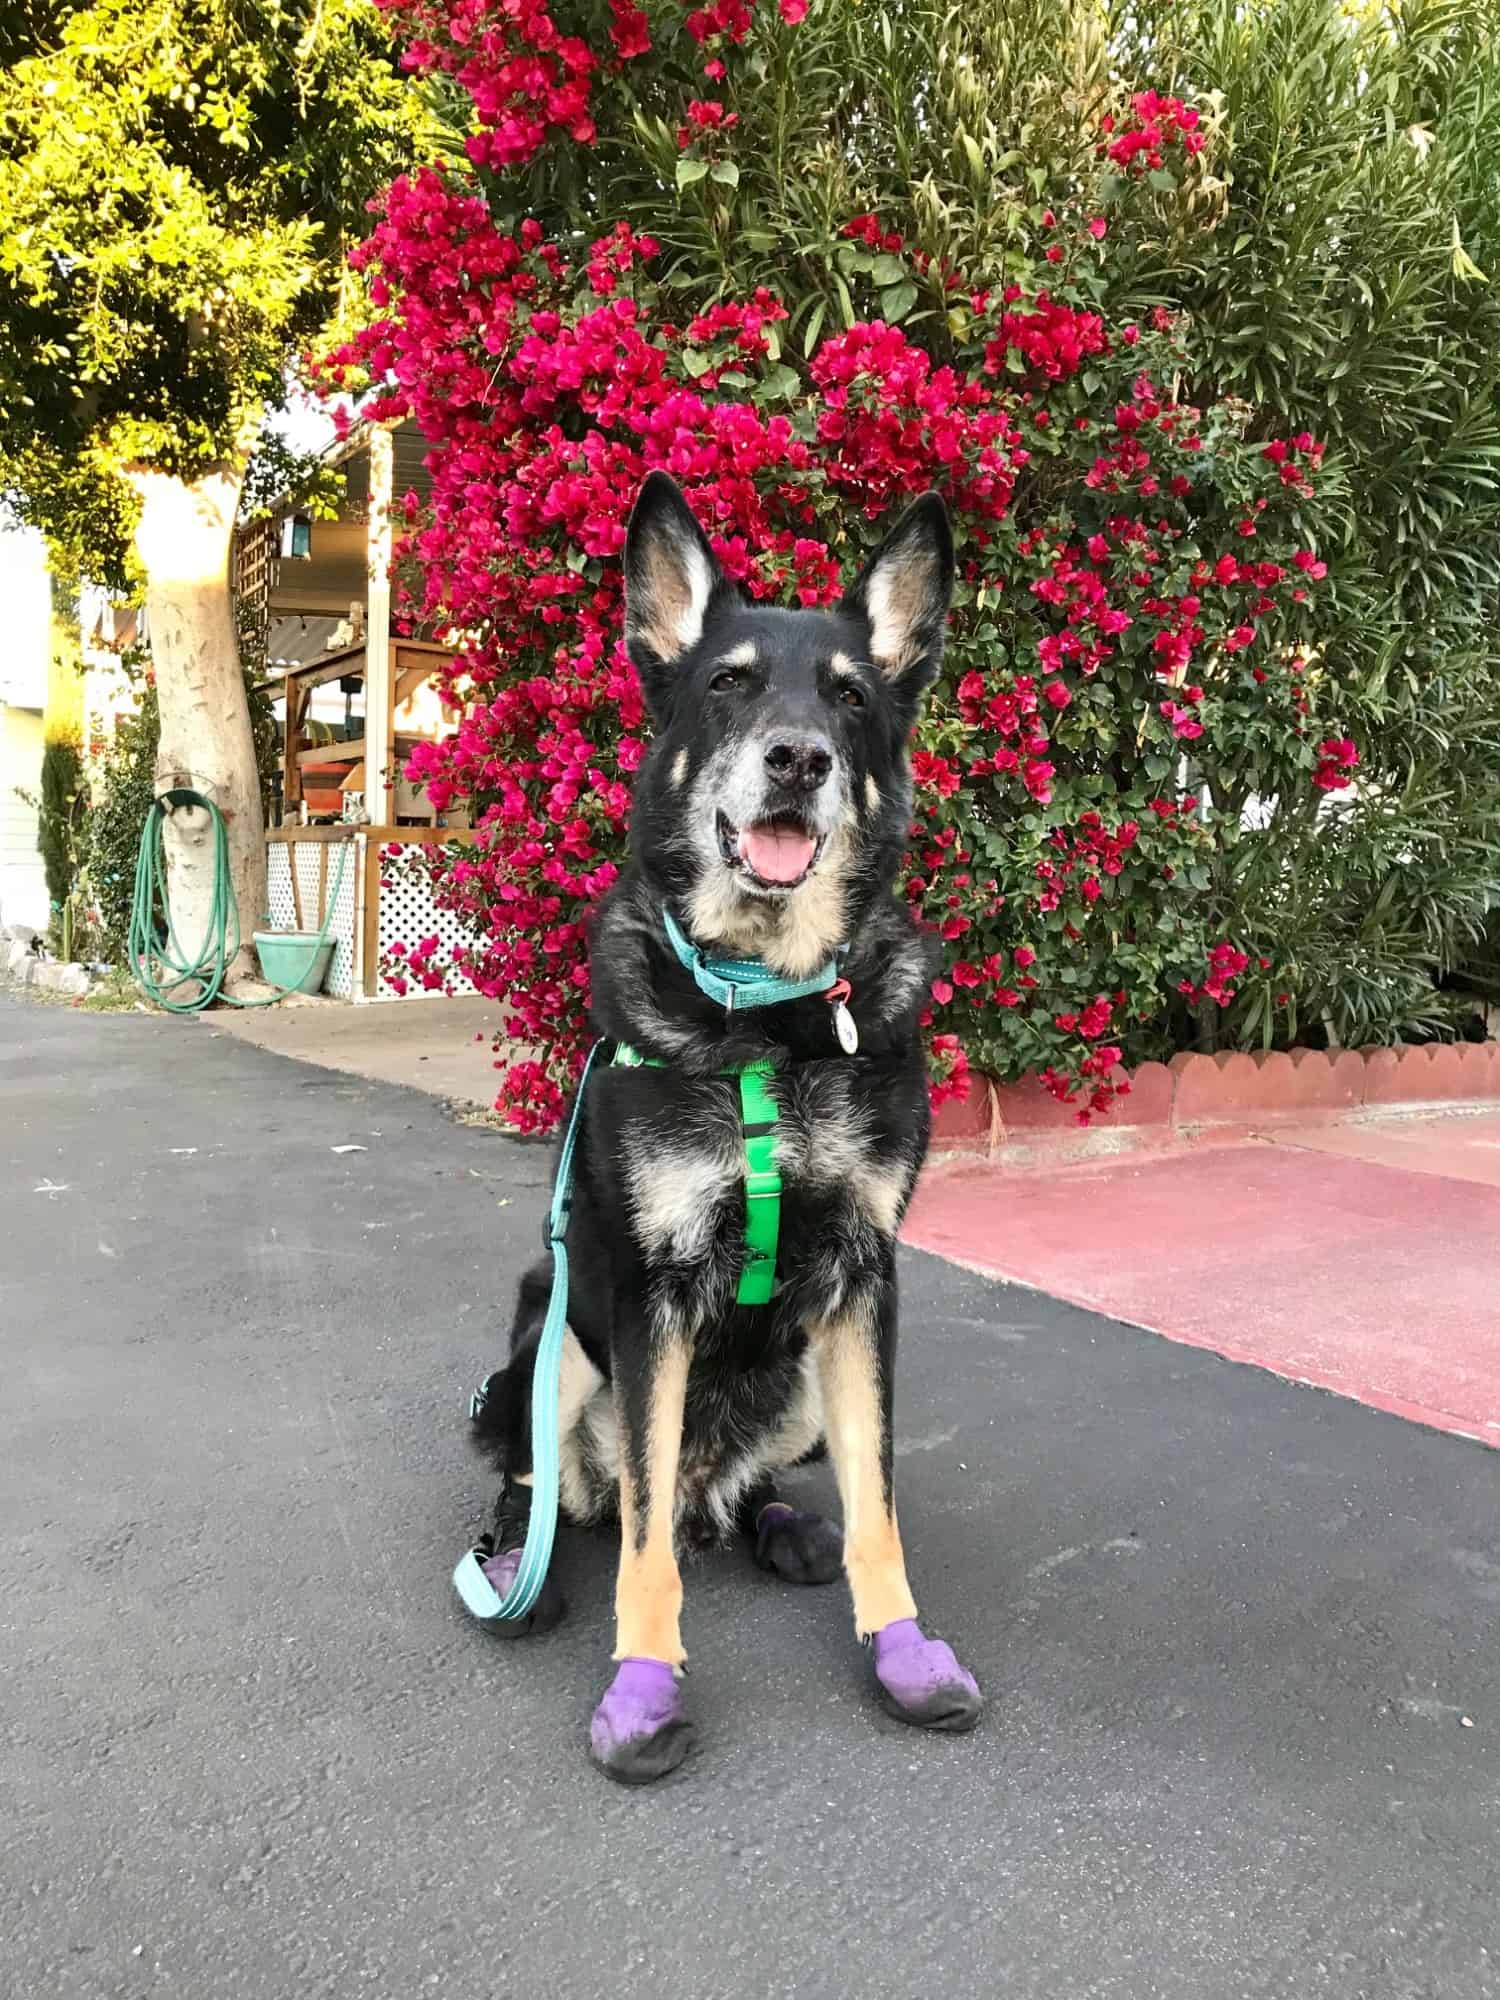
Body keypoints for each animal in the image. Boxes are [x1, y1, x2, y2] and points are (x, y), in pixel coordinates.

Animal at [470, 468, 988, 1784]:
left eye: (850, 695)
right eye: (729, 683)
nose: (798, 758)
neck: (770, 1018)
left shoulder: (864, 1284)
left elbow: (880, 1497)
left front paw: (901, 1645)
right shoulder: (649, 1297)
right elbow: (644, 1538)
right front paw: (644, 1683)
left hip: (798, 1372)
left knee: (737, 1489)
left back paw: (780, 1521)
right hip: (551, 1339)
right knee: (571, 1486)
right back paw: (518, 1564)